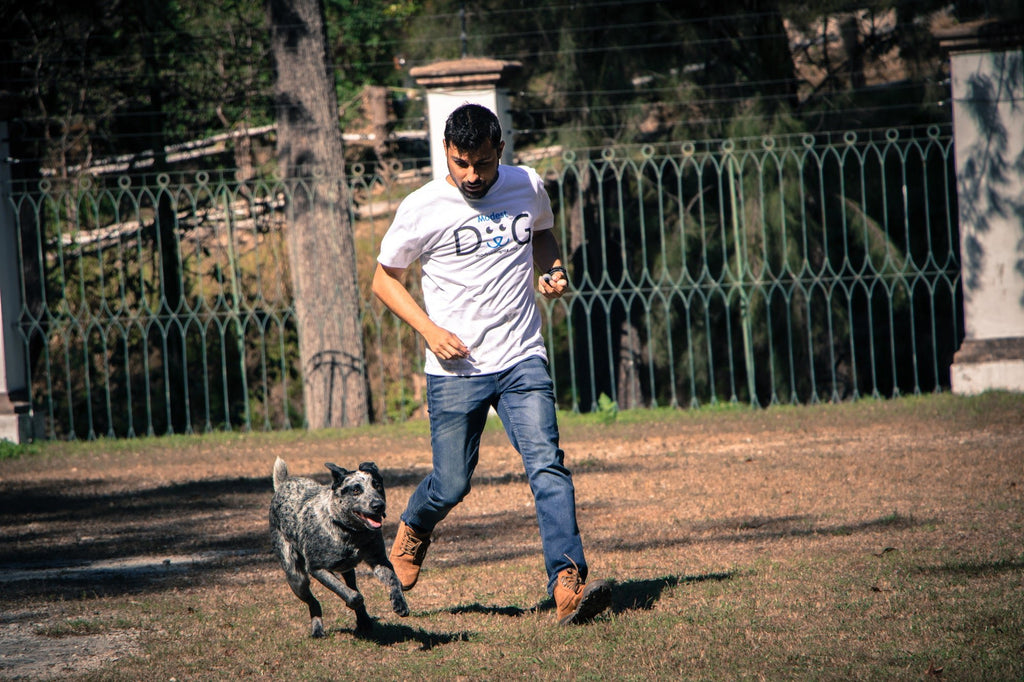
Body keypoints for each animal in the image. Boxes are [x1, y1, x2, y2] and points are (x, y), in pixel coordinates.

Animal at [270, 454, 409, 634]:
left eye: (377, 485)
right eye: (356, 490)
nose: (378, 505)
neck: (351, 532)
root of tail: (283, 483)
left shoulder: (379, 560)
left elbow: (394, 579)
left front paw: (400, 602)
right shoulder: (317, 568)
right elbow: (352, 595)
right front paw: (353, 602)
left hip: (348, 572)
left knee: (350, 584)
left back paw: (364, 621)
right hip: (296, 577)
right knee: (313, 601)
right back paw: (317, 629)